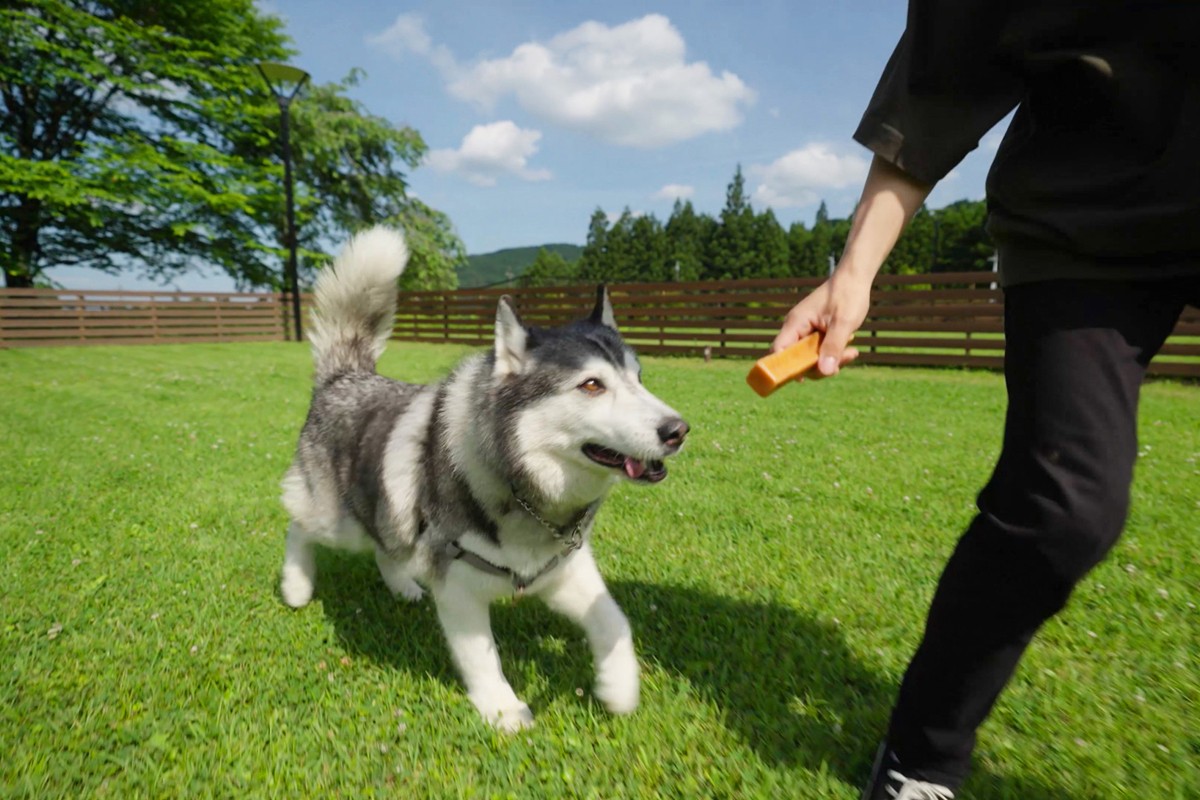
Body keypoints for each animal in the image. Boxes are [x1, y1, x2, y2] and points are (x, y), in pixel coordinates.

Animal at [277, 226, 691, 734]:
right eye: (592, 385)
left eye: (639, 378)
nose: (677, 431)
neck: (522, 488)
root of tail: (346, 376)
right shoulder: (458, 586)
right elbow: (482, 656)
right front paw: (502, 708)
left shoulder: (562, 570)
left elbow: (614, 621)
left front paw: (619, 687)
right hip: (337, 521)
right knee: (299, 524)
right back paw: (296, 586)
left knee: (386, 544)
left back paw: (402, 586)